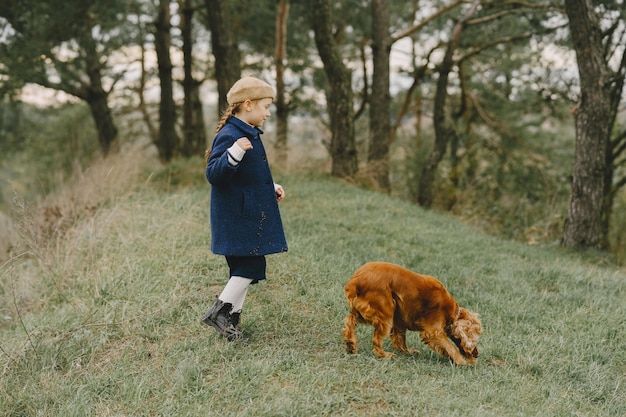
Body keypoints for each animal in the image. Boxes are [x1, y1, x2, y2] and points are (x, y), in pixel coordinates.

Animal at [342, 264, 482, 364]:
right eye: (475, 339)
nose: (476, 354)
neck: (452, 312)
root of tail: (355, 281)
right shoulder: (433, 331)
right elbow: (450, 347)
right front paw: (463, 362)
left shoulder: (399, 321)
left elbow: (400, 339)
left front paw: (407, 351)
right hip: (384, 312)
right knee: (376, 341)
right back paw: (384, 355)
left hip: (366, 311)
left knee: (349, 321)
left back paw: (350, 345)